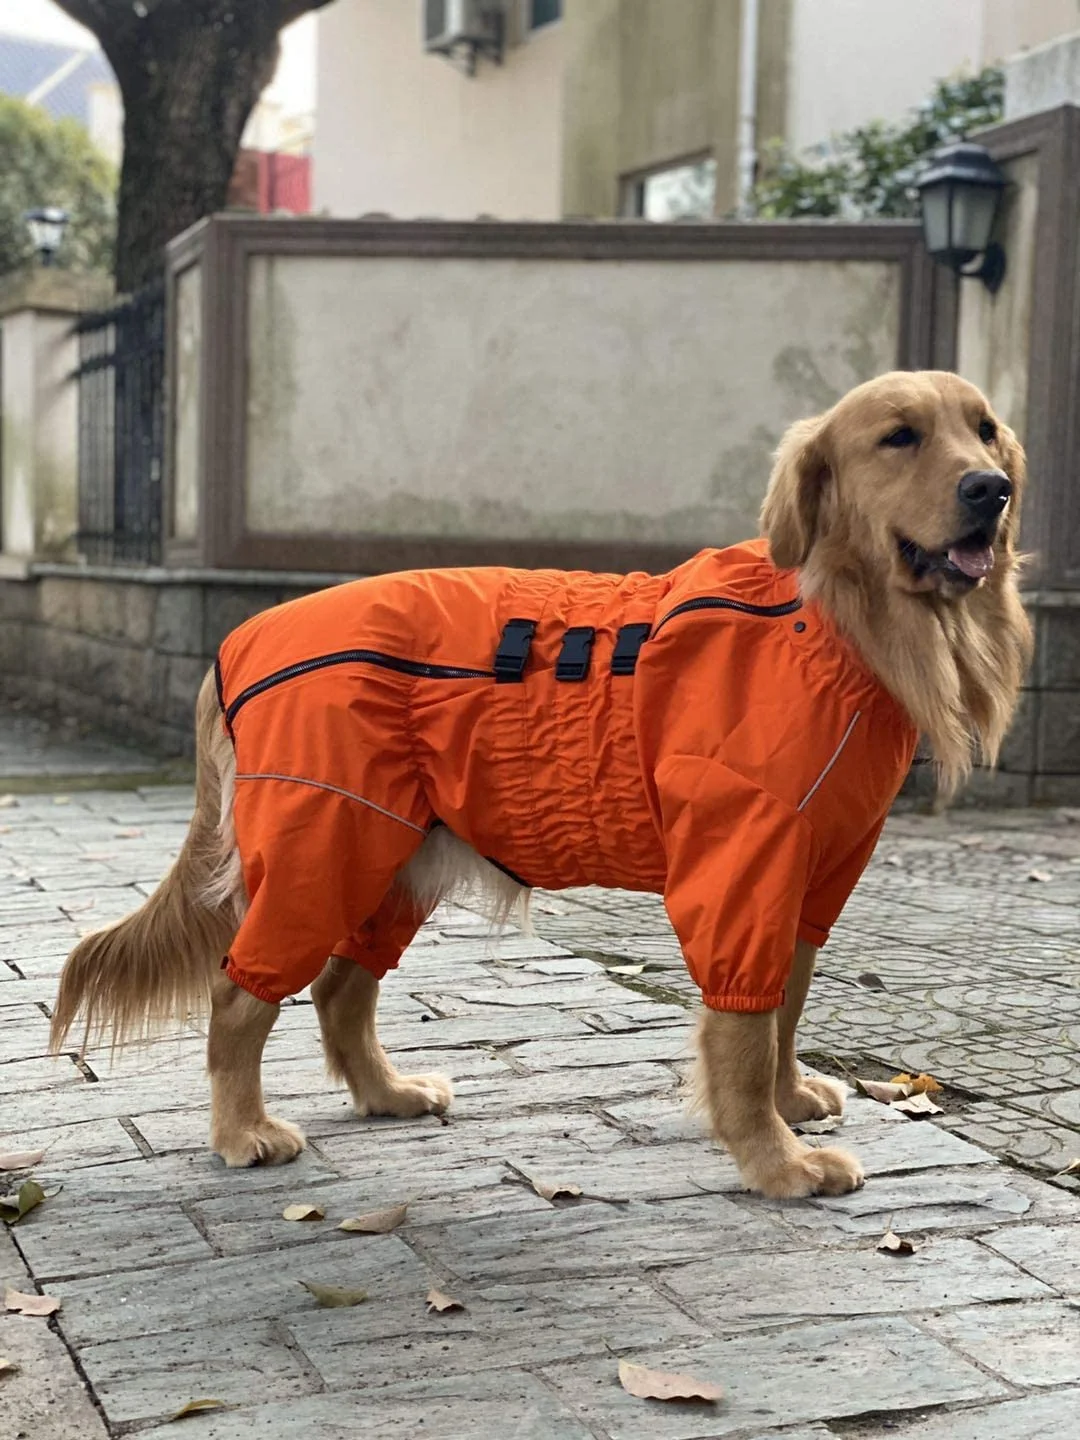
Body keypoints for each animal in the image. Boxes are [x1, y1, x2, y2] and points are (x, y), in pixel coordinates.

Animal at [48, 368, 1031, 1192]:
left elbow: (784, 1006)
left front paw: (789, 1102)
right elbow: (746, 1028)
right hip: (322, 853)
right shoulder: (741, 868)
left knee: (338, 988)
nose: (993, 489)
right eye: (899, 436)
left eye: (984, 430)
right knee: (238, 993)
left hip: (391, 860)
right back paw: (242, 1130)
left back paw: (388, 1092)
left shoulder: (814, 879)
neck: (831, 621)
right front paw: (774, 1158)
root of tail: (240, 639)